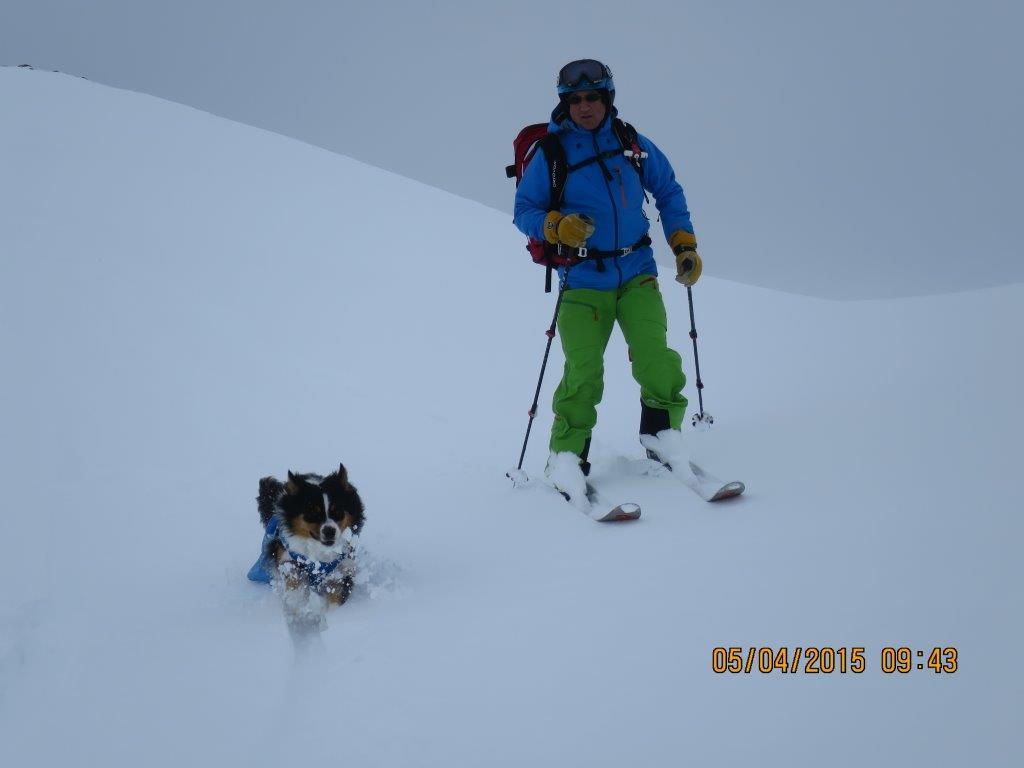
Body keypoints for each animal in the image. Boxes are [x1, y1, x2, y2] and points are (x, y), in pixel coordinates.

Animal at [247, 464, 365, 615]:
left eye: (337, 511)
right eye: (312, 513)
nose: (329, 531)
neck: (319, 553)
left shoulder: (343, 567)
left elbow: (336, 595)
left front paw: (334, 613)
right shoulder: (289, 561)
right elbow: (295, 590)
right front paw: (298, 610)